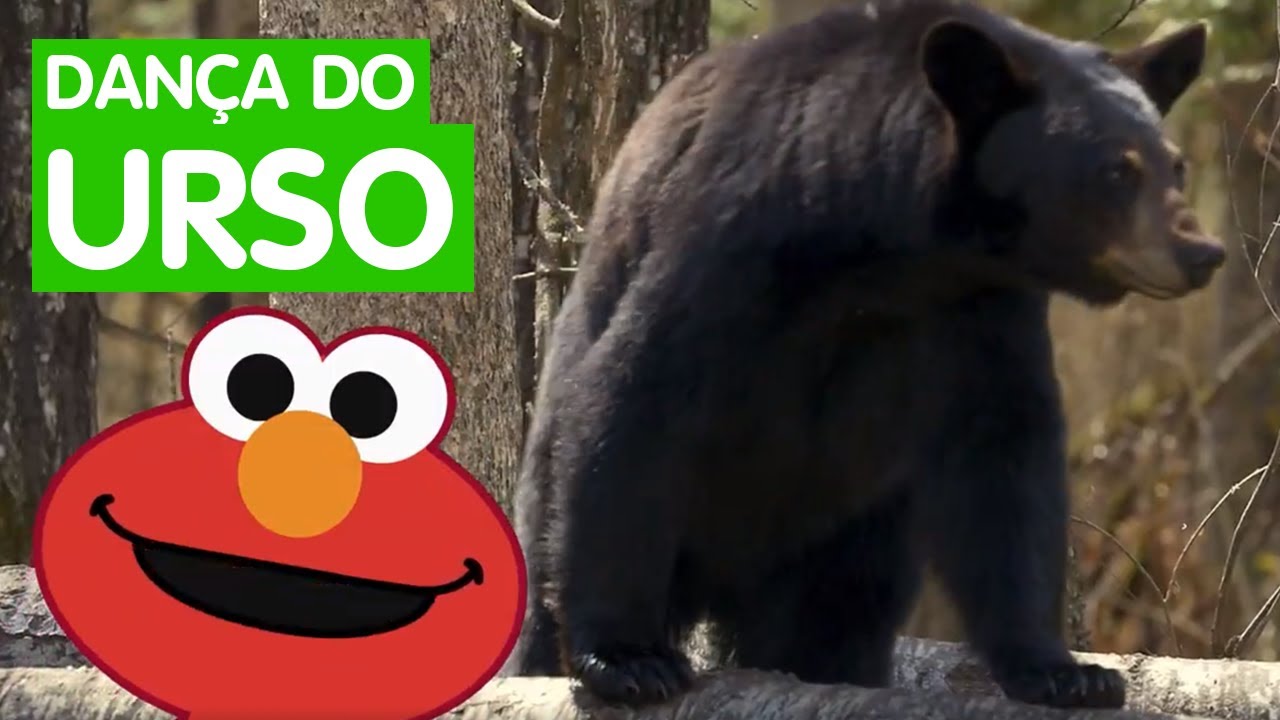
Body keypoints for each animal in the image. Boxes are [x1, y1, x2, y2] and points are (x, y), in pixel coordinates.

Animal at [502, 0, 1223, 711]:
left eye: (1176, 165)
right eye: (1116, 170)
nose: (1202, 252)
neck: (890, 247)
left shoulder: (983, 309)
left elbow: (1005, 456)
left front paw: (1063, 670)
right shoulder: (734, 241)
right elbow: (637, 397)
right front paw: (629, 657)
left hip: (850, 539)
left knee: (837, 617)